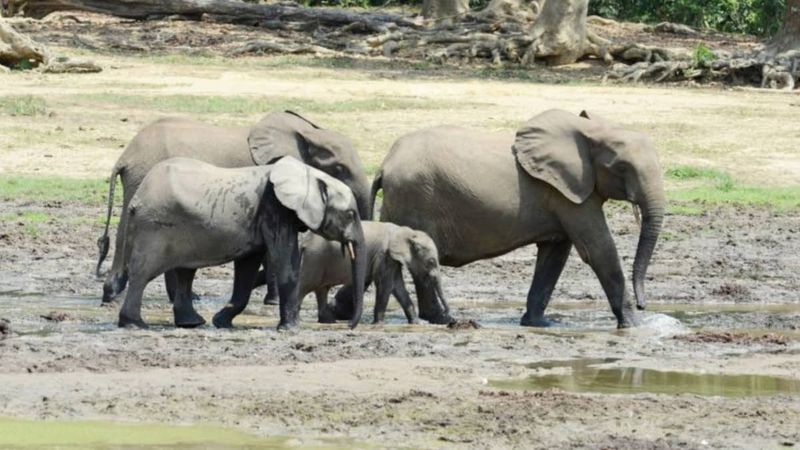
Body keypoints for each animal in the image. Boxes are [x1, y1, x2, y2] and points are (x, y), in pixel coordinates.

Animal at [117, 156, 368, 330]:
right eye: (350, 214)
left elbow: (247, 269)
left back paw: (191, 323)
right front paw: (290, 329)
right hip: (154, 228)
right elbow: (285, 262)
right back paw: (134, 324)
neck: (307, 174)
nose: (349, 326)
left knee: (184, 274)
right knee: (142, 274)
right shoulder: (275, 208)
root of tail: (137, 198)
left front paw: (221, 322)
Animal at [294, 221, 446, 324]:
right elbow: (386, 285)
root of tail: (304, 242)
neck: (408, 232)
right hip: (315, 259)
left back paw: (329, 321)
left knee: (321, 289)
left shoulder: (391, 259)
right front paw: (378, 324)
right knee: (306, 286)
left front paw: (416, 323)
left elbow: (397, 286)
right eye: (431, 261)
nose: (449, 320)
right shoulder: (384, 255)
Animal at [366, 109, 664, 326]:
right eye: (621, 167)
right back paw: (441, 319)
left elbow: (554, 254)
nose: (644, 304)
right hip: (415, 197)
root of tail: (384, 165)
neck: (592, 132)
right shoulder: (569, 194)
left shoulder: (563, 195)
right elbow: (598, 249)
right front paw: (634, 326)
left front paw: (539, 324)